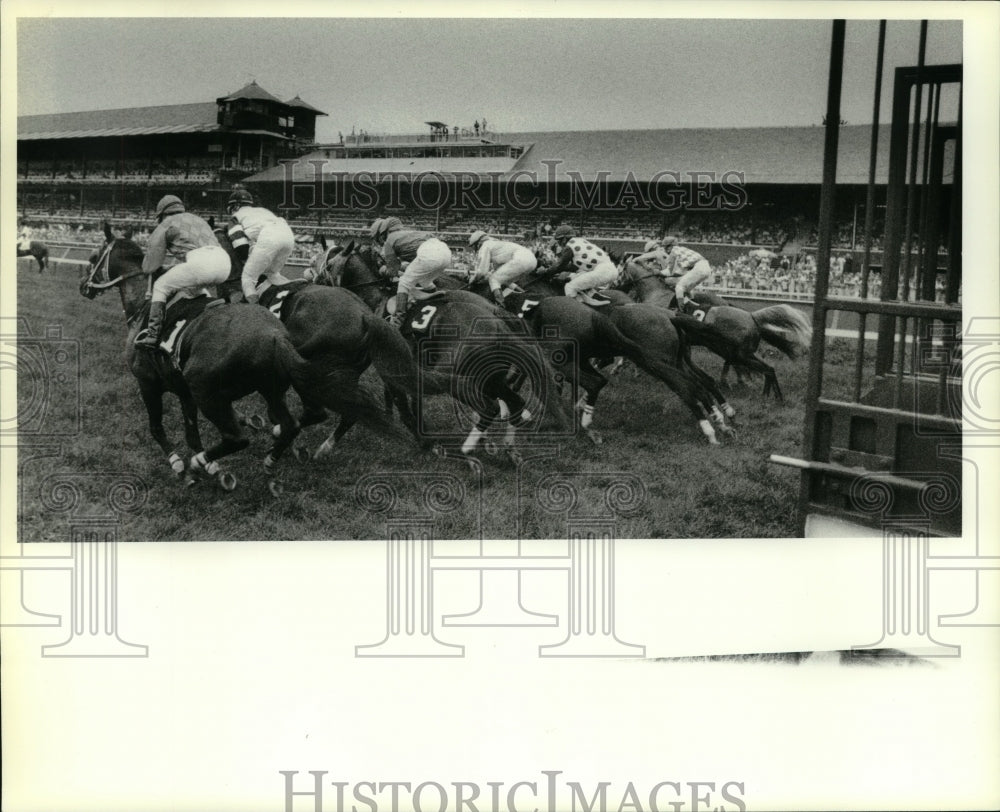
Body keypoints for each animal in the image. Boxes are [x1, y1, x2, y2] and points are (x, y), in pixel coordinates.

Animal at [78, 222, 404, 492]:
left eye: (94, 258)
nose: (83, 287)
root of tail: (364, 316)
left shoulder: (151, 383)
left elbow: (161, 428)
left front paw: (187, 466)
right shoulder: (185, 387)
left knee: (310, 414)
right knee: (337, 413)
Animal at [312, 238, 572, 460]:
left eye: (326, 263)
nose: (314, 286)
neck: (377, 299)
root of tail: (497, 319)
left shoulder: (395, 373)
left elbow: (398, 409)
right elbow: (409, 406)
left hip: (458, 375)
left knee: (490, 406)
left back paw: (470, 447)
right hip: (491, 375)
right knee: (515, 402)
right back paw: (508, 447)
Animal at [624, 262, 812, 402]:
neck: (656, 294)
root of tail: (751, 316)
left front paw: (632, 371)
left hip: (736, 351)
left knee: (752, 366)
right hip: (732, 350)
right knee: (752, 366)